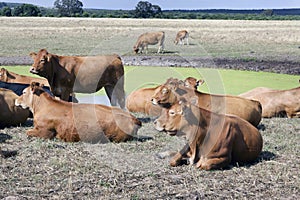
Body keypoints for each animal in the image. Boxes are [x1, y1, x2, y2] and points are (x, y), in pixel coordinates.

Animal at [15, 82, 143, 143]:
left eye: (24, 92)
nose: (16, 100)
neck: (40, 106)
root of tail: (133, 118)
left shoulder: (46, 132)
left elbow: (27, 132)